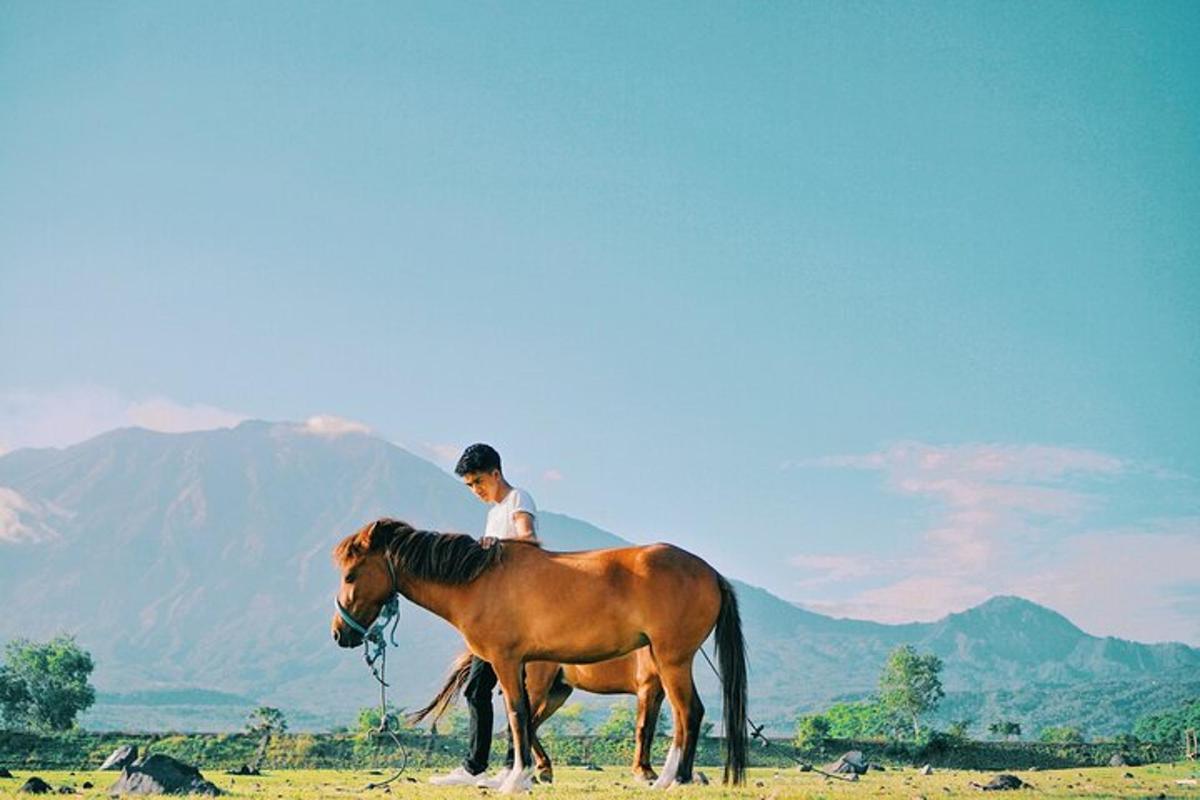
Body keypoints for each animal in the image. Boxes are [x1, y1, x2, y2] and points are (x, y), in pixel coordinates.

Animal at [412, 642, 667, 782]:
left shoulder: (661, 692)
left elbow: (654, 731)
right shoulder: (647, 688)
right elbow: (644, 729)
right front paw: (645, 773)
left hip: (557, 692)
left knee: (530, 726)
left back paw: (543, 770)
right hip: (538, 689)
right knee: (522, 724)